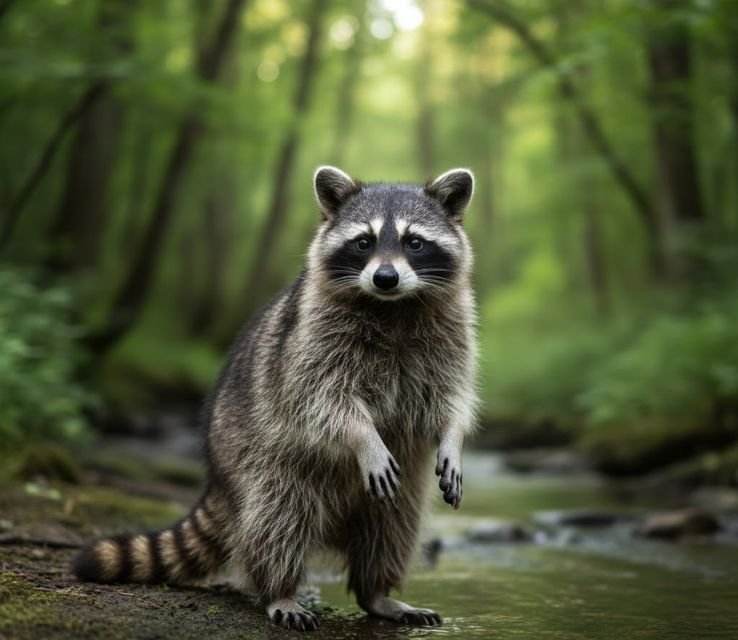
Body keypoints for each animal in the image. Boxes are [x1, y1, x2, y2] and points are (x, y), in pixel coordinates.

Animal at [73, 166, 478, 631]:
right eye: (364, 242)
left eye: (415, 242)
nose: (385, 278)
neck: (393, 305)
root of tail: (217, 476)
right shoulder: (311, 338)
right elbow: (325, 398)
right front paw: (364, 437)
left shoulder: (452, 331)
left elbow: (450, 397)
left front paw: (453, 437)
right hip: (261, 458)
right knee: (278, 517)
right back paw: (278, 589)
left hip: (401, 483)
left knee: (393, 526)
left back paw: (376, 591)